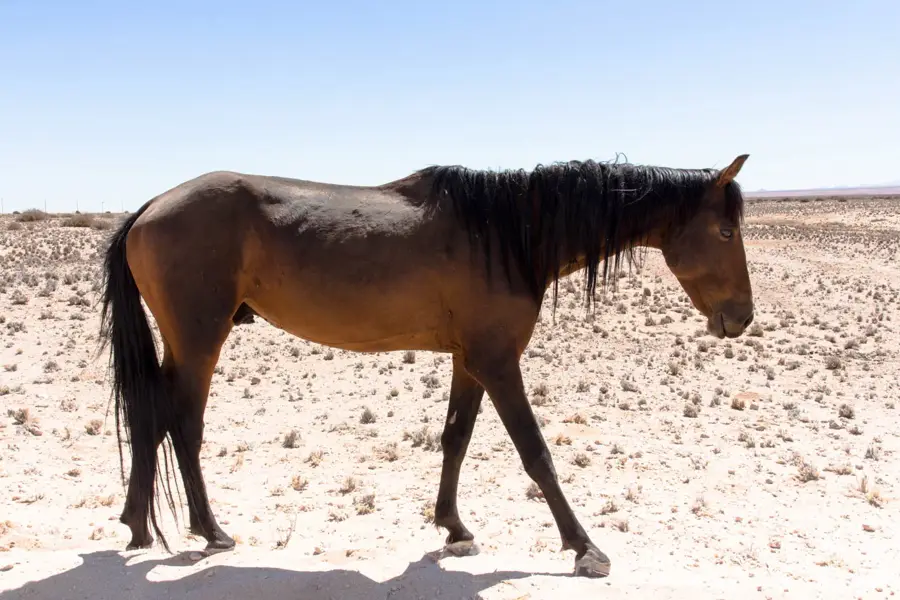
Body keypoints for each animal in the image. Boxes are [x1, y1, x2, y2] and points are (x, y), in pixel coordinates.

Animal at [99, 154, 754, 578]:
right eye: (724, 231)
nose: (742, 317)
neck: (509, 234)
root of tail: (151, 206)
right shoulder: (499, 362)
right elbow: (536, 454)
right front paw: (583, 547)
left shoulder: (471, 360)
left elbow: (455, 439)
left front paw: (454, 528)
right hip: (199, 340)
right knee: (182, 425)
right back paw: (210, 530)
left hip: (184, 342)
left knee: (152, 417)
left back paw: (137, 524)